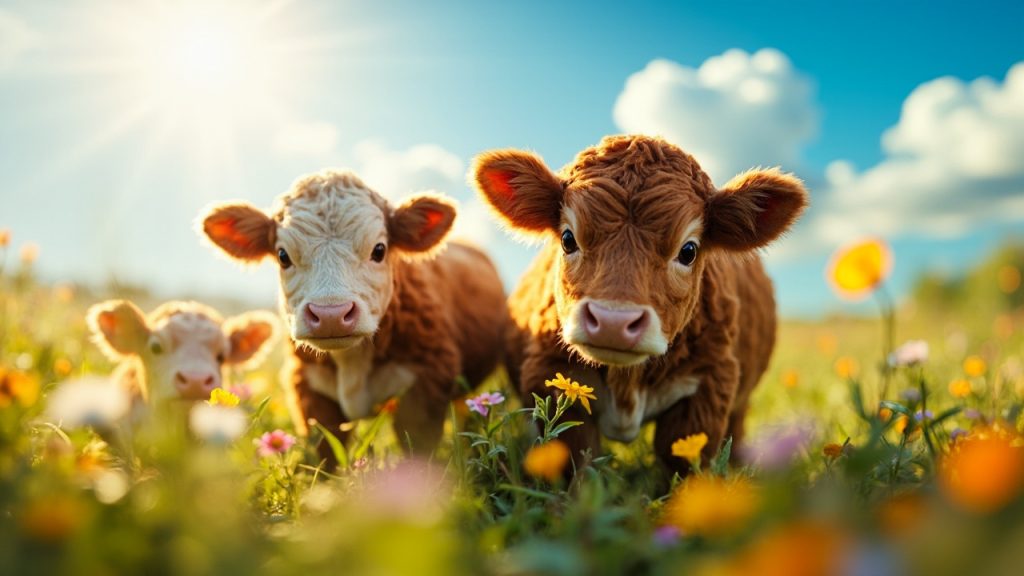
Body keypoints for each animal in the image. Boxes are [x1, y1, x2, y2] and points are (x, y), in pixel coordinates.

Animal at [198, 170, 507, 465]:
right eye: (283, 256)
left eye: (379, 250)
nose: (330, 314)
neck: (352, 364)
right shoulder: (309, 390)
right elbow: (325, 453)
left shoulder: (427, 382)